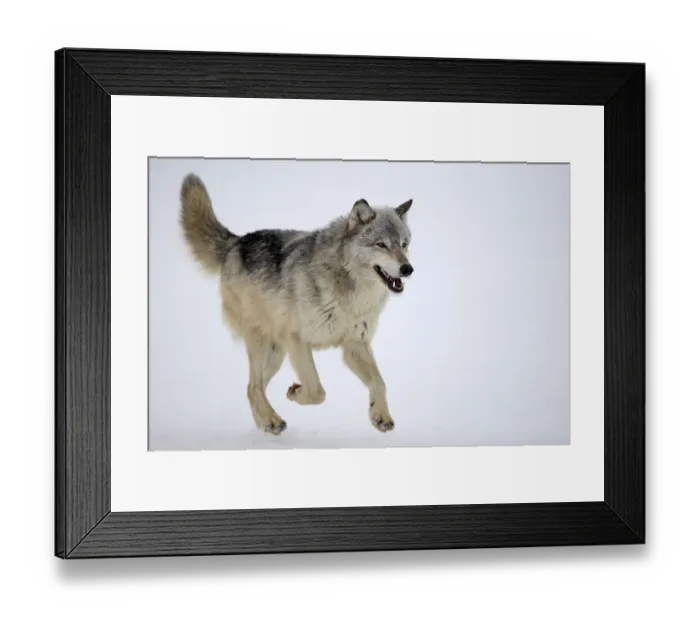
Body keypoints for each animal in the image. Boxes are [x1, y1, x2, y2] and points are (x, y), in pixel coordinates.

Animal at [179, 173, 414, 436]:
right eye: (381, 245)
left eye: (404, 244)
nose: (408, 269)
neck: (350, 294)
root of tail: (236, 243)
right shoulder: (296, 340)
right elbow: (317, 390)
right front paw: (296, 392)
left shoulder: (355, 345)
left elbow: (380, 382)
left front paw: (380, 416)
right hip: (263, 342)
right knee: (255, 385)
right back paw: (272, 421)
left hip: (277, 353)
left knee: (251, 387)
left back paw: (265, 422)